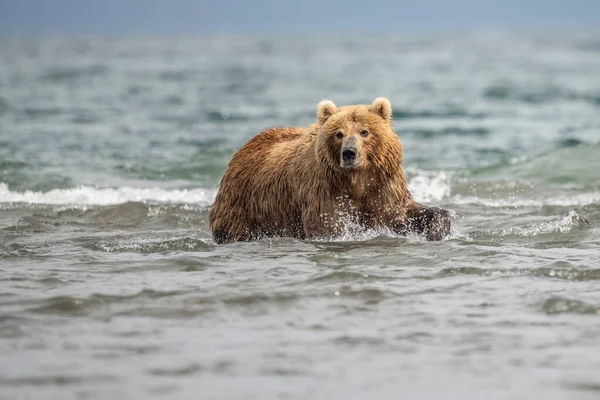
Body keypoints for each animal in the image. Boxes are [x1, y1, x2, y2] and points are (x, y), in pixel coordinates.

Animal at [211, 97, 450, 244]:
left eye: (364, 132)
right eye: (339, 133)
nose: (349, 153)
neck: (356, 180)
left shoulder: (382, 185)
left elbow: (401, 212)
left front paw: (438, 229)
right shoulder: (323, 190)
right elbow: (328, 225)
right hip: (245, 206)